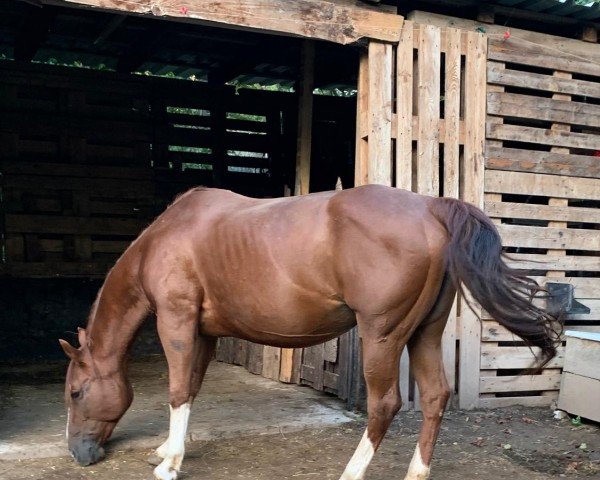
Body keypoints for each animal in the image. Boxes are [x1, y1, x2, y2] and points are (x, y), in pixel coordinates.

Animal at [61, 186, 556, 480]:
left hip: (383, 336)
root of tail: (431, 207)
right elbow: (193, 386)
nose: (78, 452)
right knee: (435, 397)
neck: (167, 238)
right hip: (424, 335)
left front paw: (169, 464)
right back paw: (417, 473)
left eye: (75, 392)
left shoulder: (177, 321)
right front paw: (166, 450)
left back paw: (352, 472)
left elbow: (179, 389)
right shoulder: (204, 332)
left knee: (385, 404)